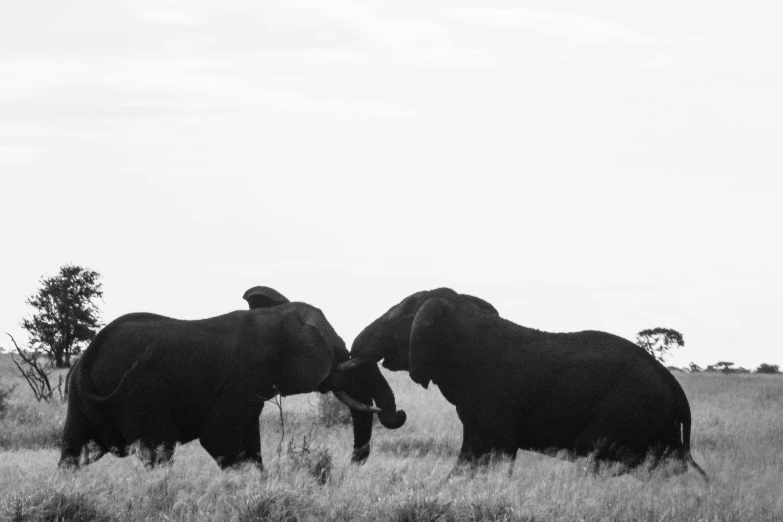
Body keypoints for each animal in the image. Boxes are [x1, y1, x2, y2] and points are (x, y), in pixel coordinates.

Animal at [58, 286, 408, 470]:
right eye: (339, 353)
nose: (399, 414)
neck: (275, 319)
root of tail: (89, 354)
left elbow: (250, 442)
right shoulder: (243, 377)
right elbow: (219, 438)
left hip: (79, 397)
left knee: (72, 450)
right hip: (140, 394)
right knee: (158, 450)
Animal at [340, 286, 708, 478]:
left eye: (397, 321)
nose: (399, 414)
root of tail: (677, 390)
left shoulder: (490, 395)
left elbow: (490, 448)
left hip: (629, 410)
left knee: (597, 453)